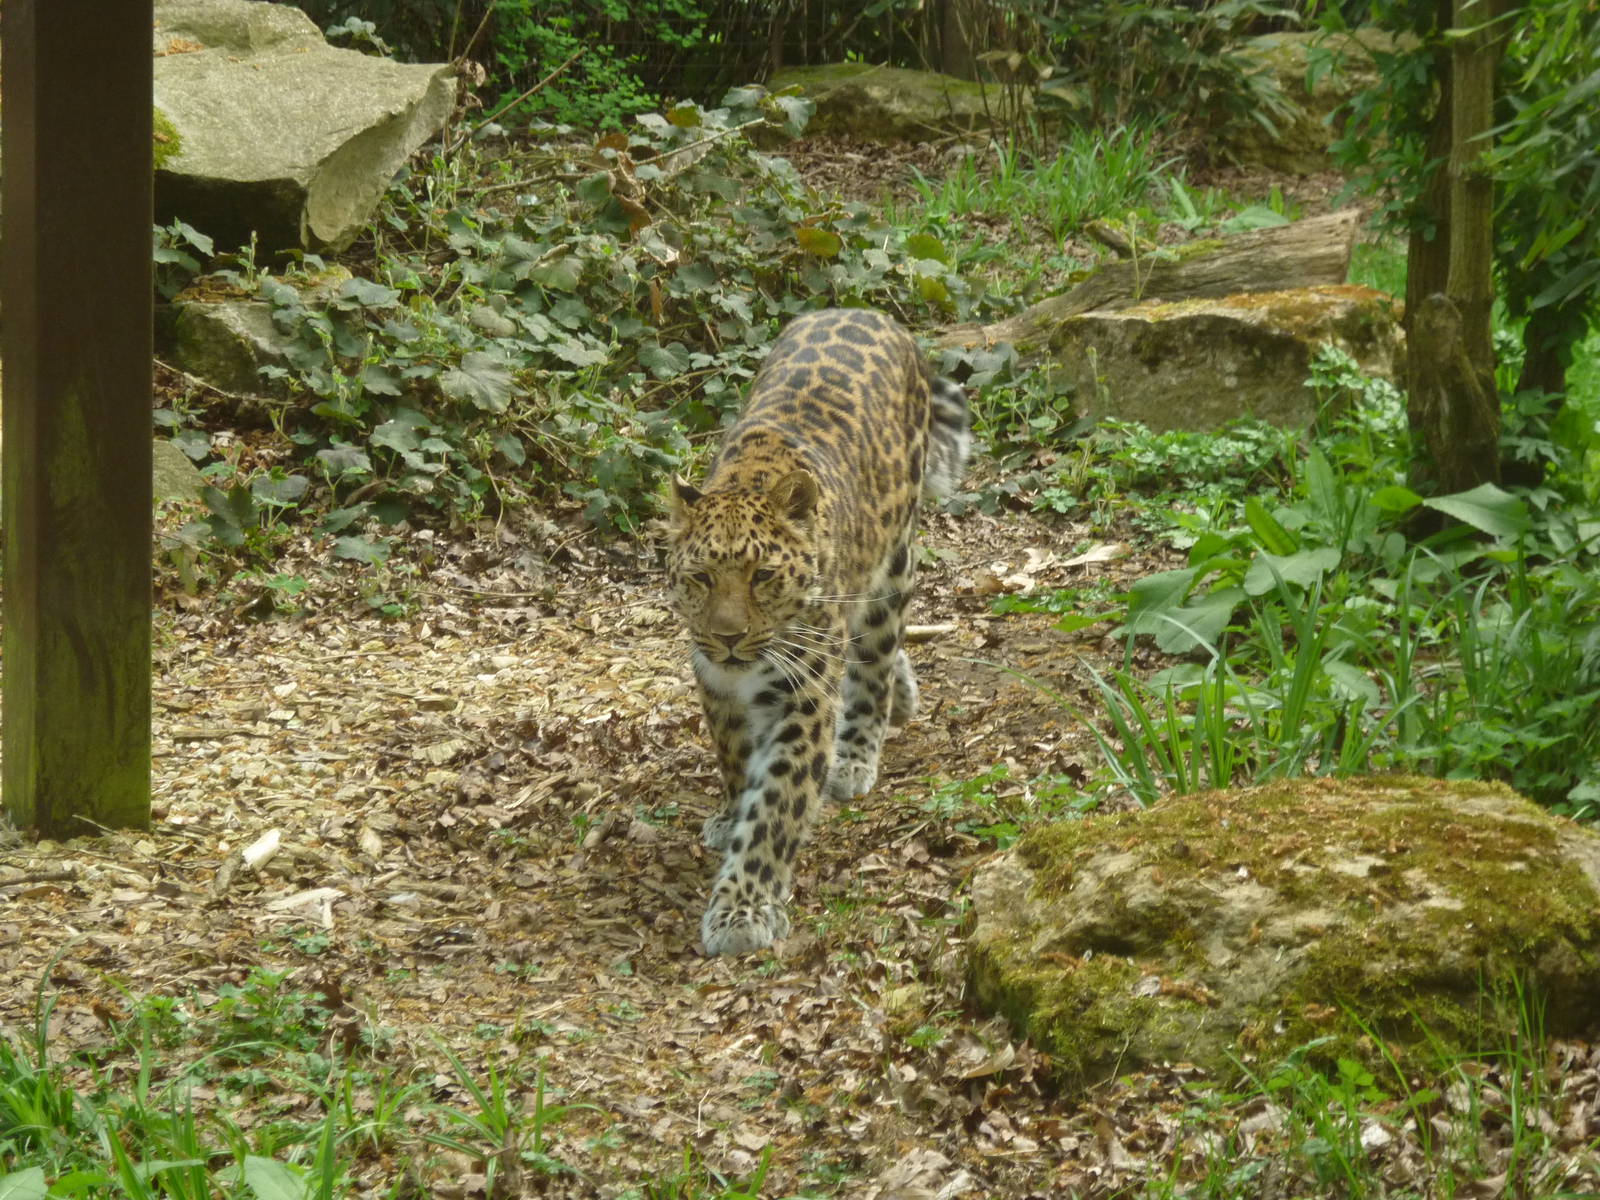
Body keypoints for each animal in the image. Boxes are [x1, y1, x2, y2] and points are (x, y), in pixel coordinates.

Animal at [665, 308, 970, 956]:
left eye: (762, 576)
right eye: (700, 578)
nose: (728, 637)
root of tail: (868, 312)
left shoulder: (802, 696)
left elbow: (778, 803)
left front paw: (743, 909)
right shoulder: (714, 683)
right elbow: (735, 760)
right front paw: (730, 814)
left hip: (891, 569)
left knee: (874, 659)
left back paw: (856, 753)